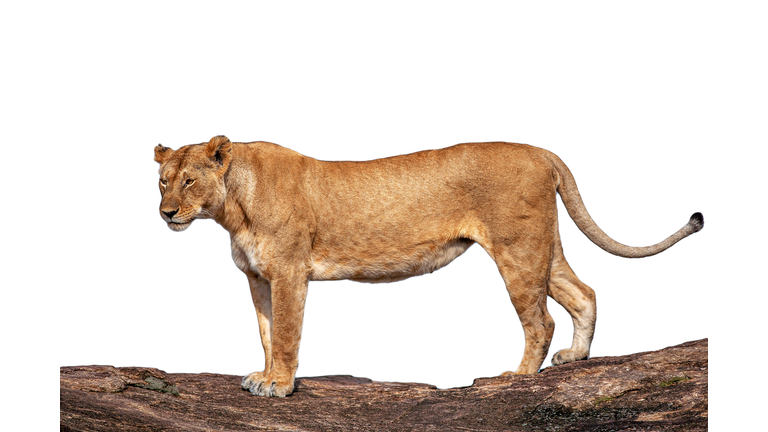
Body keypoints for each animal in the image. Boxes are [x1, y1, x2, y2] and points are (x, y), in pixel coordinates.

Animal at [154, 136, 703, 397]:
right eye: (162, 180)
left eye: (189, 181)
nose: (166, 214)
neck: (232, 208)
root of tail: (540, 151)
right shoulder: (258, 277)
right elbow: (267, 332)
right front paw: (264, 377)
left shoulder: (289, 272)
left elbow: (287, 333)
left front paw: (280, 385)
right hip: (542, 248)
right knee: (583, 292)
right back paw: (576, 357)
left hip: (517, 249)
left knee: (540, 319)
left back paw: (517, 378)